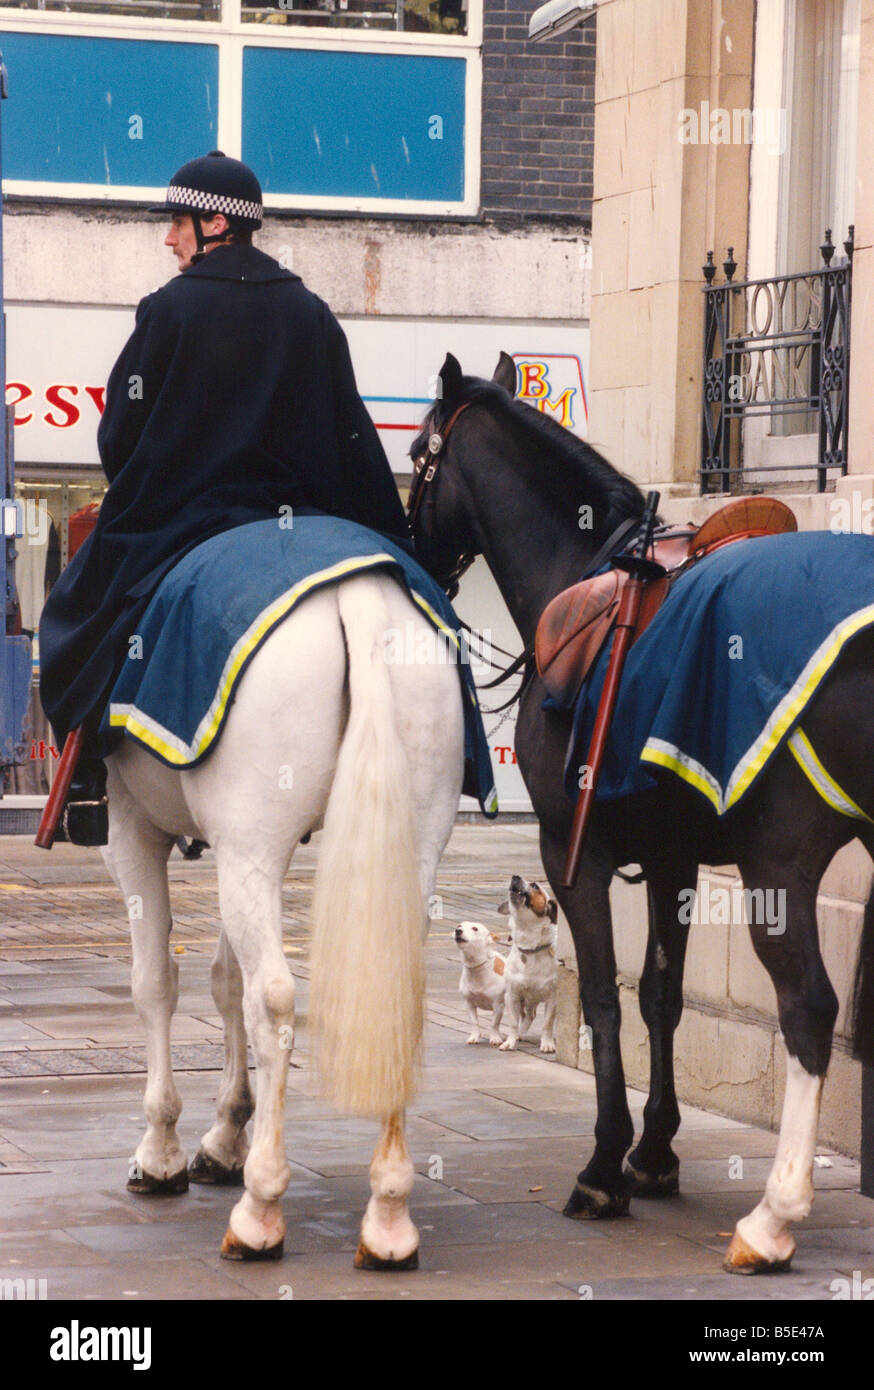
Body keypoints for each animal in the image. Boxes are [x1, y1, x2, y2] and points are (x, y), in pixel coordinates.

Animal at [100, 569, 466, 1267]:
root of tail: (358, 594)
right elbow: (224, 983)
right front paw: (223, 1134)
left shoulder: (135, 824)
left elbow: (156, 984)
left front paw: (161, 1151)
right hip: (409, 835)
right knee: (392, 992)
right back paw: (388, 1216)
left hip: (250, 840)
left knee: (272, 1001)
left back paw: (259, 1209)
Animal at [494, 872, 555, 1045]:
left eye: (535, 886)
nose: (515, 876)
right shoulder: (512, 995)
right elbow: (513, 1022)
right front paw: (510, 1042)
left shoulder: (552, 998)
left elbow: (547, 1023)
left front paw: (547, 1044)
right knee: (528, 1015)